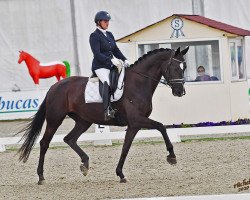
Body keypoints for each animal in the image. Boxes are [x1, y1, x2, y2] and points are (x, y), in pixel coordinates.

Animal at [17, 47, 188, 184]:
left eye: (184, 67)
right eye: (174, 68)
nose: (180, 92)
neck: (138, 83)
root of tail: (54, 87)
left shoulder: (134, 125)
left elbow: (125, 148)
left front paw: (121, 174)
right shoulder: (137, 120)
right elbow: (161, 126)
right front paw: (172, 156)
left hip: (83, 121)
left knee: (69, 139)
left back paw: (85, 164)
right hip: (55, 119)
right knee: (44, 143)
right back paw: (41, 177)